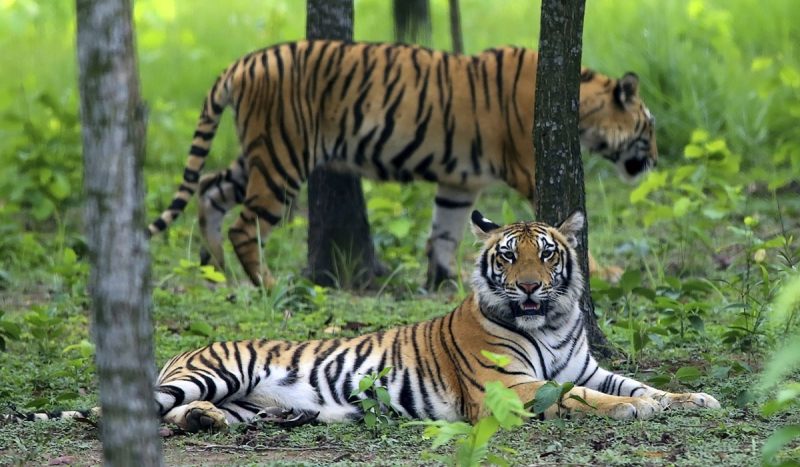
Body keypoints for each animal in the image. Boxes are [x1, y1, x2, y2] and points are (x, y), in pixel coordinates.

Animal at [8, 210, 719, 430]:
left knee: (191, 414)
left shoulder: (586, 362)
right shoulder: (506, 388)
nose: (527, 288)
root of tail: (183, 350)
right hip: (208, 373)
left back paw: (254, 420)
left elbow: (633, 383)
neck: (548, 324)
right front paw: (633, 411)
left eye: (546, 255)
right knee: (147, 406)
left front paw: (694, 399)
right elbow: (579, 396)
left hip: (238, 396)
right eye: (507, 256)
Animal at [147, 40, 658, 289]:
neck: (582, 110)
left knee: (210, 189)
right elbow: (560, 230)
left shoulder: (459, 182)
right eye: (649, 128)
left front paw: (444, 280)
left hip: (259, 154)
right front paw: (606, 273)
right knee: (244, 224)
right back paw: (266, 284)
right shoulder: (528, 170)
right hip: (281, 158)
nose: (654, 160)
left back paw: (214, 268)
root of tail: (242, 63)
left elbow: (445, 233)